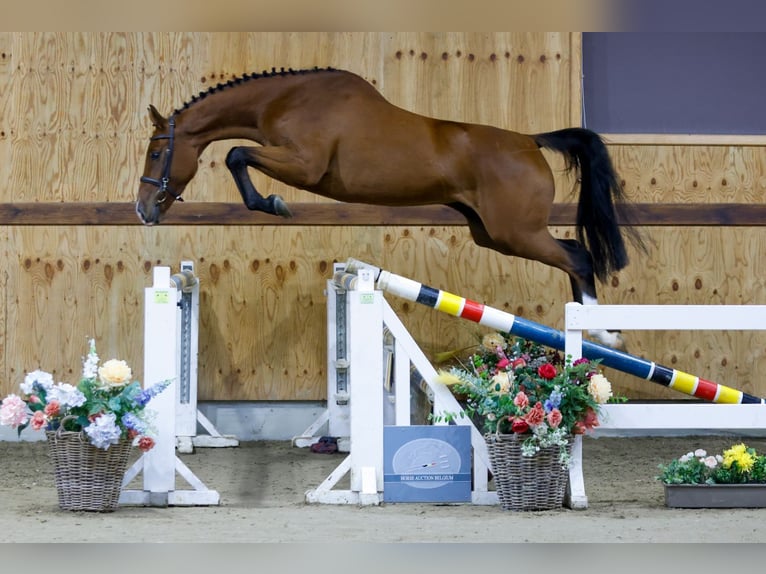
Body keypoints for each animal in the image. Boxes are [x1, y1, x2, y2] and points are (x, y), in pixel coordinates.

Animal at [136, 66, 640, 348]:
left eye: (157, 152)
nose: (143, 210)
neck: (287, 99)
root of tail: (531, 142)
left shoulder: (304, 165)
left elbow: (237, 154)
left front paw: (273, 204)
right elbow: (238, 154)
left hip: (516, 232)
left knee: (578, 255)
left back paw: (603, 332)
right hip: (493, 234)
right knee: (573, 254)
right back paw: (596, 332)